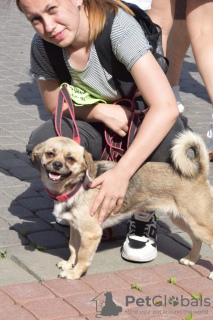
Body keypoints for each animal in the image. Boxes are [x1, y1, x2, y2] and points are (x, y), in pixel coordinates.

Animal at [31, 131, 213, 278]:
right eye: (50, 154)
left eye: (70, 159)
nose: (57, 165)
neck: (75, 187)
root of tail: (199, 172)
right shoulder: (75, 228)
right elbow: (73, 248)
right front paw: (69, 264)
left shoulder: (91, 234)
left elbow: (82, 256)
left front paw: (74, 274)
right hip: (183, 220)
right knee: (197, 240)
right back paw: (191, 259)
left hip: (199, 223)